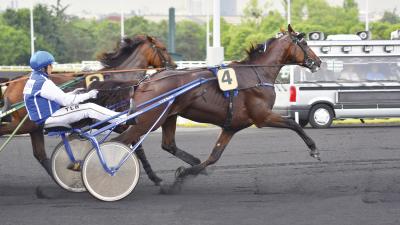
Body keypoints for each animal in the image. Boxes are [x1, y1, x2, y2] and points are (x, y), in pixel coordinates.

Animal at [0, 34, 174, 185]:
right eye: (163, 48)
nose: (174, 66)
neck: (121, 80)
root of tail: (15, 80)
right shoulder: (119, 123)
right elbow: (138, 148)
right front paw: (154, 176)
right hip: (25, 124)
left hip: (34, 128)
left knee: (40, 155)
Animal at [112, 25, 322, 193]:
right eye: (304, 43)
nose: (318, 62)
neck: (256, 74)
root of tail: (145, 81)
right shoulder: (262, 117)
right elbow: (293, 124)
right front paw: (314, 149)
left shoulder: (231, 127)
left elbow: (214, 157)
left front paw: (183, 174)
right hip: (148, 120)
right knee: (121, 142)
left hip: (168, 116)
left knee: (167, 144)